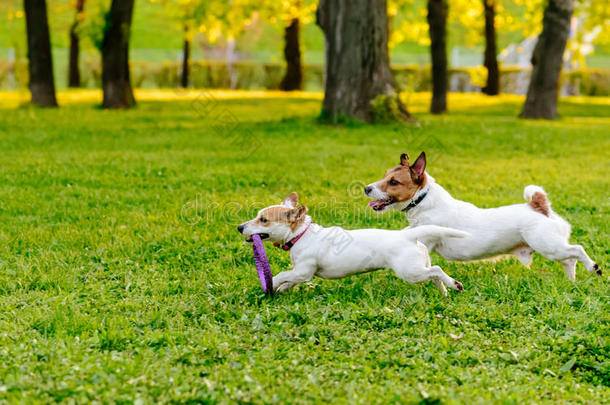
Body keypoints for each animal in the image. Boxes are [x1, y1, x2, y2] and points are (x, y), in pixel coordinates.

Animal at [236, 193, 466, 294]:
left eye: (263, 220)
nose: (239, 227)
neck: (301, 234)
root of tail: (407, 236)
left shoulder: (304, 271)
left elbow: (283, 274)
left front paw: (272, 283)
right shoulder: (300, 273)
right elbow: (289, 280)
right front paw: (281, 289)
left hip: (410, 272)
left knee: (436, 270)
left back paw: (453, 284)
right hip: (418, 267)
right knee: (433, 273)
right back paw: (444, 291)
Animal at [366, 152, 600, 280]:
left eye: (394, 182)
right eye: (385, 175)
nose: (367, 188)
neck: (424, 200)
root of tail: (539, 206)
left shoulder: (426, 240)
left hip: (548, 245)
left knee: (577, 251)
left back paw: (593, 267)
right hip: (554, 249)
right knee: (569, 261)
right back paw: (571, 281)